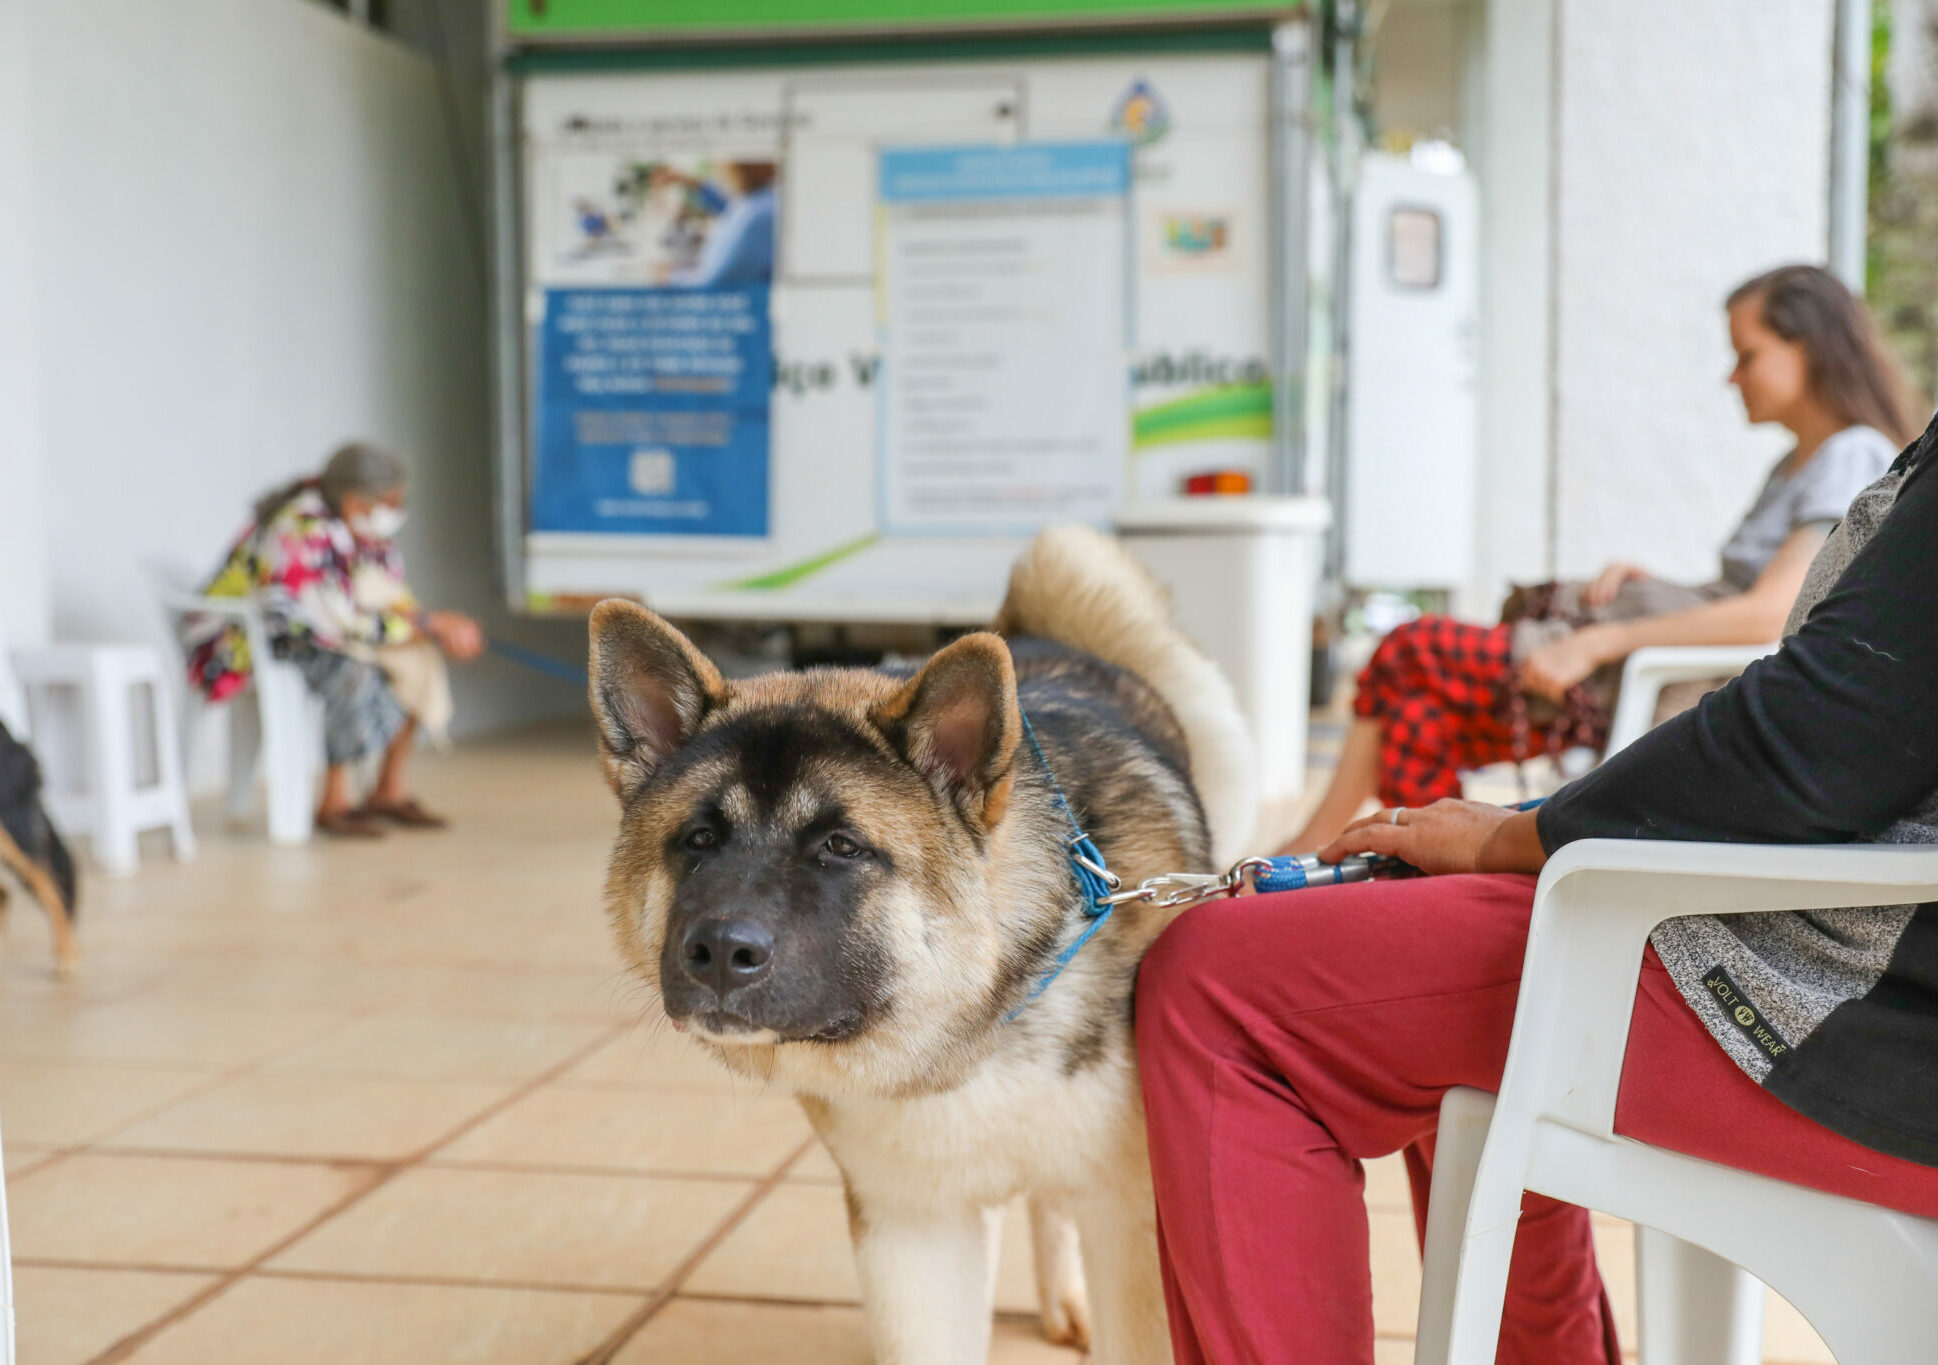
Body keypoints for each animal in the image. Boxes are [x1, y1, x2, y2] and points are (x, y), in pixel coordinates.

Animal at [589, 527, 1255, 1357]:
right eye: (699, 840)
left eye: (841, 846)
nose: (715, 951)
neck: (974, 1028)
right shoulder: (913, 1232)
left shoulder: (1131, 1223)